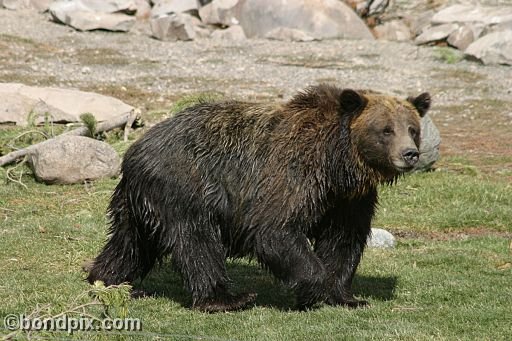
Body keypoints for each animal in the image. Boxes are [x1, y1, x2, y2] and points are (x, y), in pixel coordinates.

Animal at [86, 84, 430, 310]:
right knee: (196, 242)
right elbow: (274, 228)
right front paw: (313, 288)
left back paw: (111, 281)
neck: (337, 163)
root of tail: (134, 152)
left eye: (412, 128)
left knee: (130, 243)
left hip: (138, 202)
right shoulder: (291, 175)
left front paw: (347, 296)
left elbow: (343, 241)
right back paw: (228, 298)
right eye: (386, 129)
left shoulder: (347, 200)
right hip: (184, 187)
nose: (410, 154)